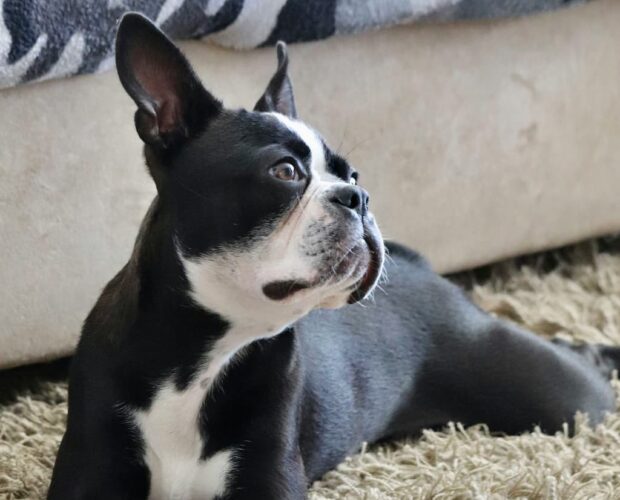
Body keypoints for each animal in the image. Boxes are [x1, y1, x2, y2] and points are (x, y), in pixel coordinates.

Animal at [49, 13, 620, 498]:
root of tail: (423, 269)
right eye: (285, 171)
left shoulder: (268, 475)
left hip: (557, 399)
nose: (359, 197)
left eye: (352, 174)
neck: (201, 354)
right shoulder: (92, 469)